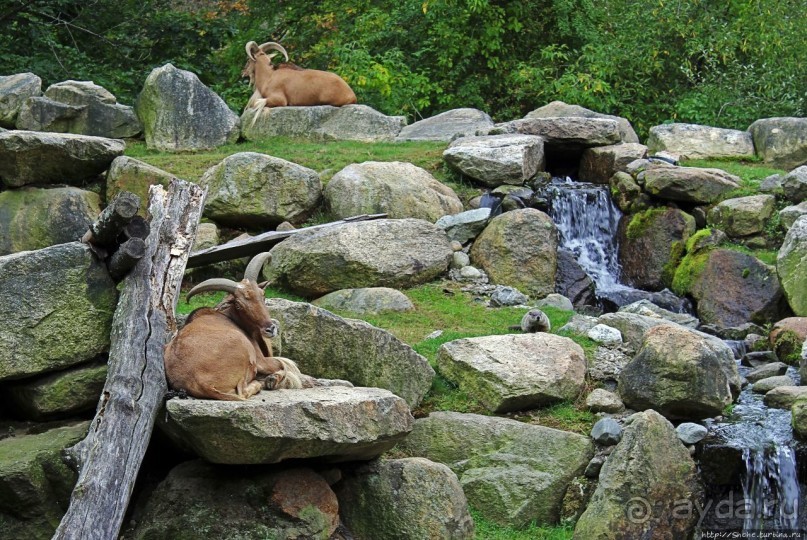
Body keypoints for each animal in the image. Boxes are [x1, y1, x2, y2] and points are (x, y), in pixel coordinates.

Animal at [164, 253, 306, 400]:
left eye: (263, 295)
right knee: (243, 391)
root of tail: (202, 384)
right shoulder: (261, 360)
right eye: (238, 305)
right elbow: (285, 364)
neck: (230, 317)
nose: (270, 329)